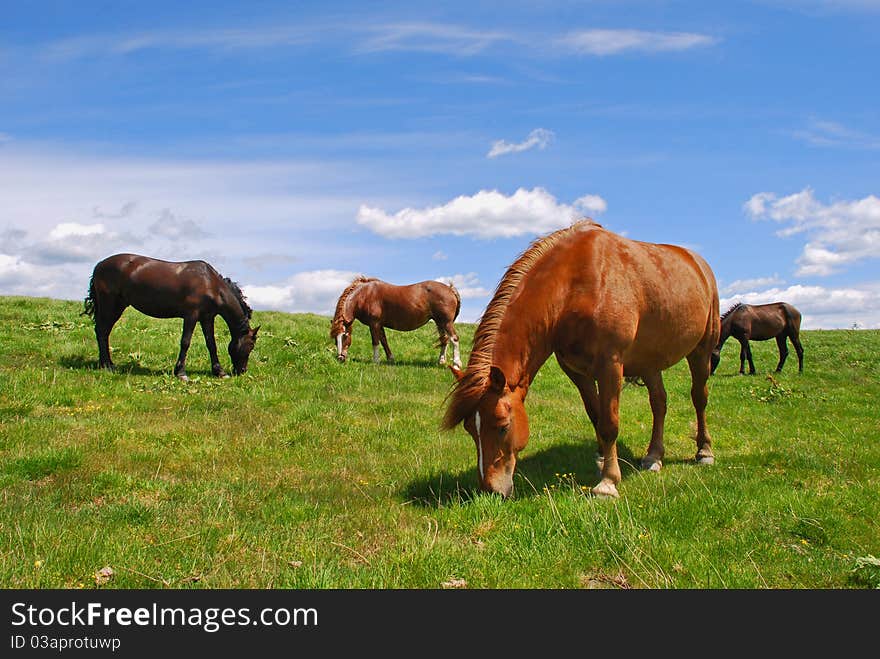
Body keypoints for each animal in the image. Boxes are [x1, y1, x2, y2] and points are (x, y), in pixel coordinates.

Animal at [83, 255, 260, 384]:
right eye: (251, 345)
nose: (242, 371)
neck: (210, 283)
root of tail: (99, 265)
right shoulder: (191, 315)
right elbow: (185, 342)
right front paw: (181, 372)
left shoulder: (207, 318)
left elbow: (211, 344)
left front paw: (219, 371)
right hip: (110, 305)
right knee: (102, 331)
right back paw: (107, 365)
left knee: (103, 331)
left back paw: (105, 363)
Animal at [332, 276, 464, 368]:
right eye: (335, 339)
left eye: (345, 336)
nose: (340, 358)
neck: (365, 295)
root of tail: (450, 289)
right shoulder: (379, 325)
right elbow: (384, 341)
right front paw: (390, 359)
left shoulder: (374, 324)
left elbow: (375, 342)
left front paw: (375, 361)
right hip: (440, 322)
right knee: (445, 340)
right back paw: (441, 361)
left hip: (446, 322)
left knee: (454, 339)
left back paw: (457, 364)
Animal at [444, 219, 720, 498]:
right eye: (470, 429)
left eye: (503, 426)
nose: (490, 490)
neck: (574, 286)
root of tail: (699, 264)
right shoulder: (576, 371)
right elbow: (596, 415)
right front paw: (603, 460)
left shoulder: (610, 365)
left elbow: (609, 423)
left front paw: (608, 482)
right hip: (650, 361)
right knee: (659, 403)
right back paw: (654, 456)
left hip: (701, 351)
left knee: (699, 398)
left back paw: (704, 451)